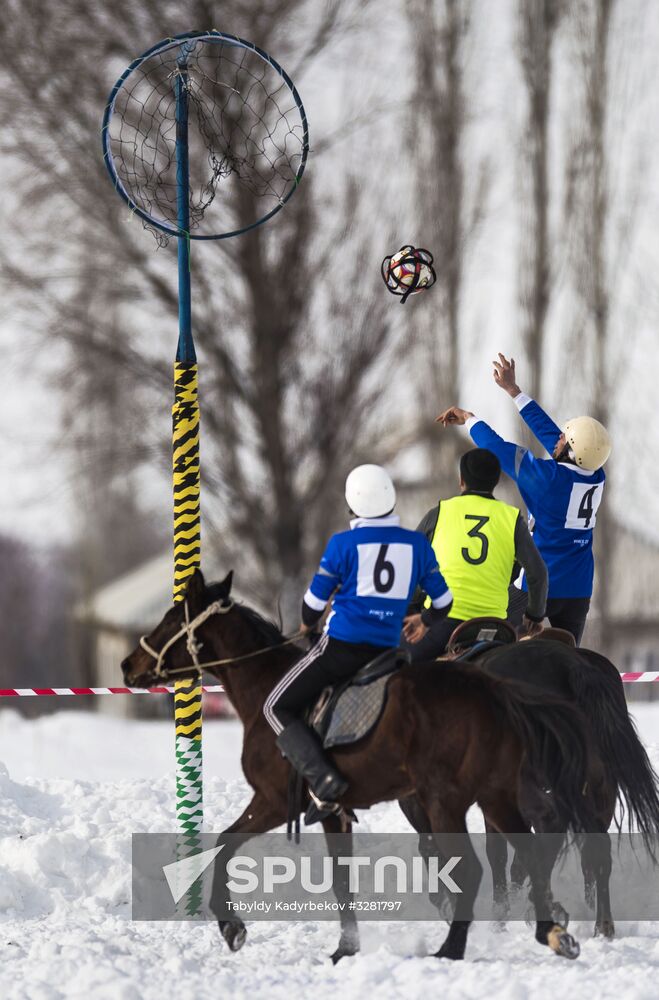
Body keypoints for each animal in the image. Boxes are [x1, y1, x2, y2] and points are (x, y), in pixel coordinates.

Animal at [125, 572, 604, 968]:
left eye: (172, 618)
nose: (128, 665)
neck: (267, 689)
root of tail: (493, 690)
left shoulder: (274, 802)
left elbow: (225, 846)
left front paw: (232, 927)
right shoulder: (334, 813)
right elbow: (341, 880)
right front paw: (345, 949)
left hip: (445, 802)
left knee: (471, 869)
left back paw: (451, 950)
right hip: (496, 796)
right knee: (530, 851)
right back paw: (551, 932)